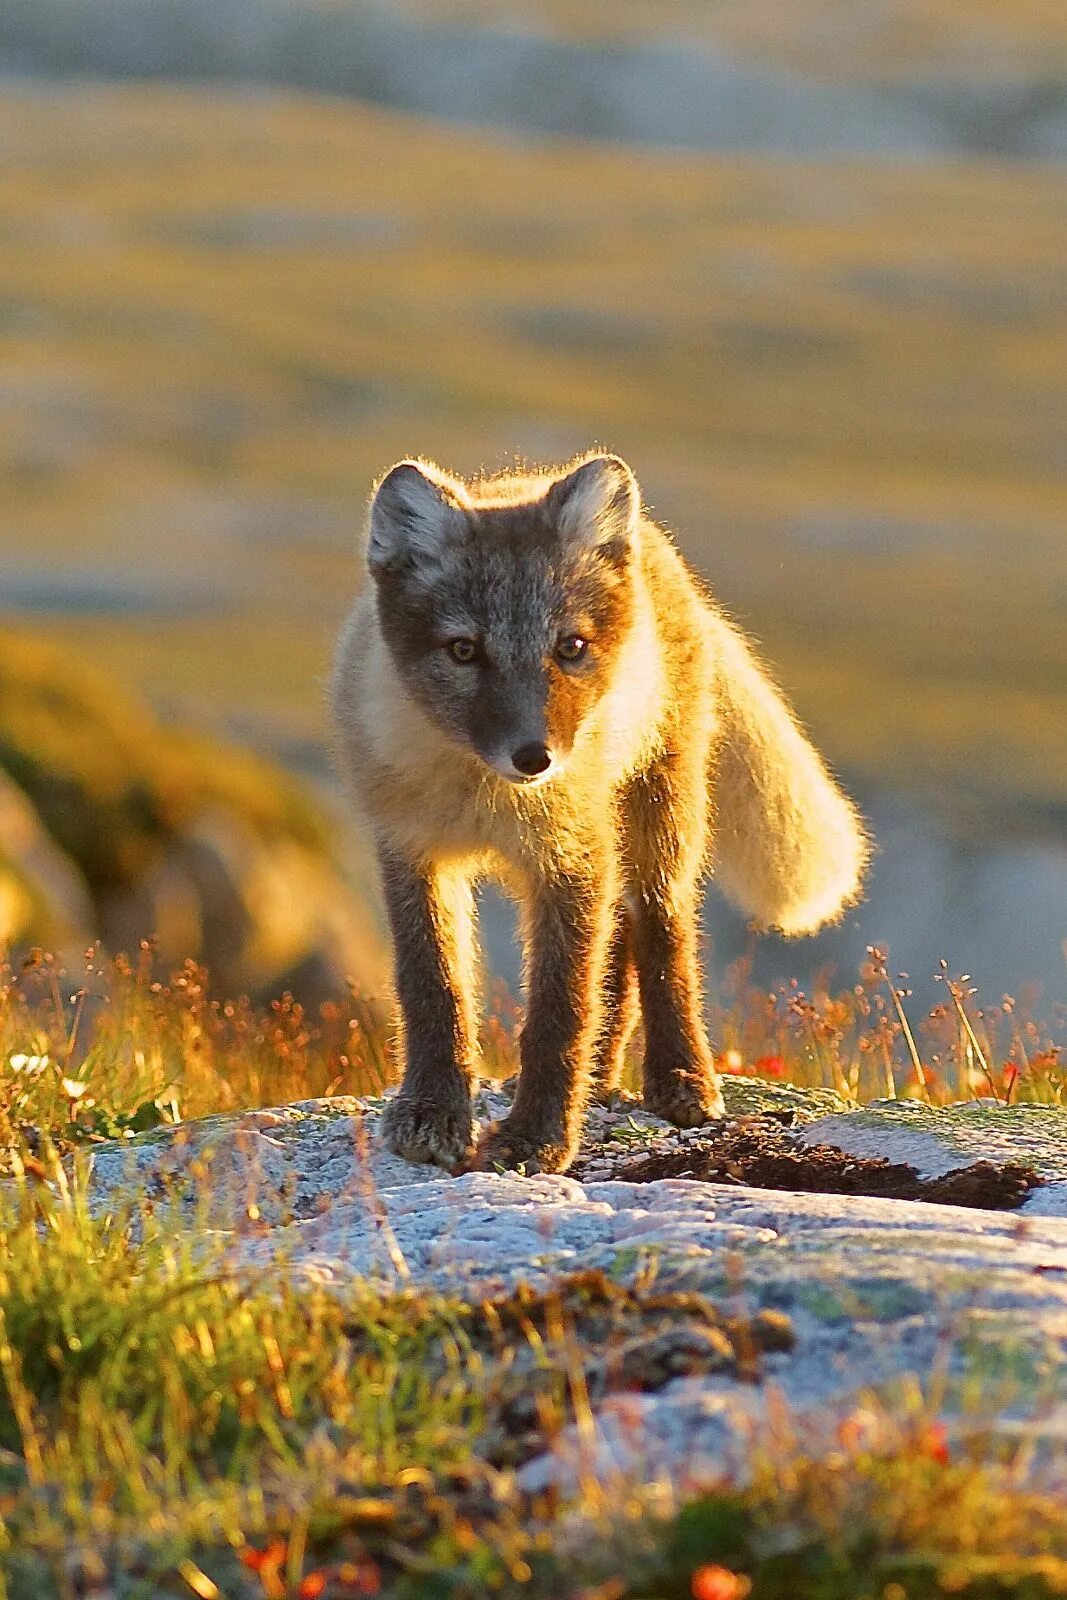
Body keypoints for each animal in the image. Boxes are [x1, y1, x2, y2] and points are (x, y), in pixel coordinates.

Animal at [331, 451, 870, 1177]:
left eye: (570, 648)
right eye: (464, 650)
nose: (534, 758)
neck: (486, 797)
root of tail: (660, 554)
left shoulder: (570, 860)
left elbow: (560, 1009)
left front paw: (537, 1138)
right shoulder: (412, 853)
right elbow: (433, 987)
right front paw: (432, 1114)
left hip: (656, 821)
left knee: (661, 934)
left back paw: (681, 1079)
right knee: (616, 957)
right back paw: (603, 1078)